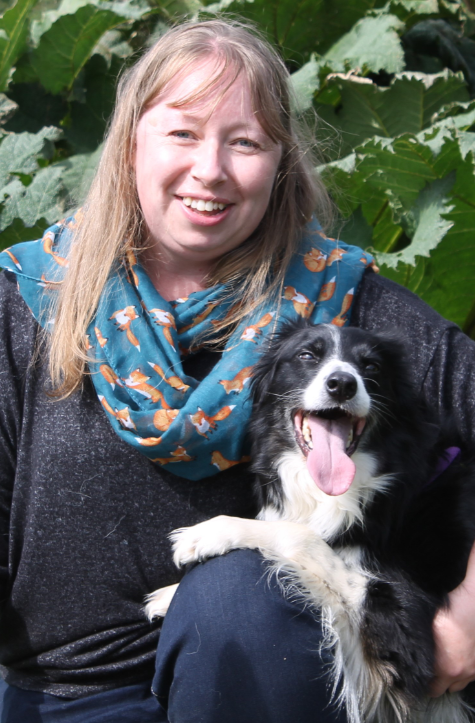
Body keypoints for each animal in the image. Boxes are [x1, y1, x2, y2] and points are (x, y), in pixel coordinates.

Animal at [145, 322, 475, 723]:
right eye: (306, 356)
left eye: (371, 366)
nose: (342, 384)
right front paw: (170, 595)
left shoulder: (399, 627)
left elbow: (300, 535)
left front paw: (209, 534)